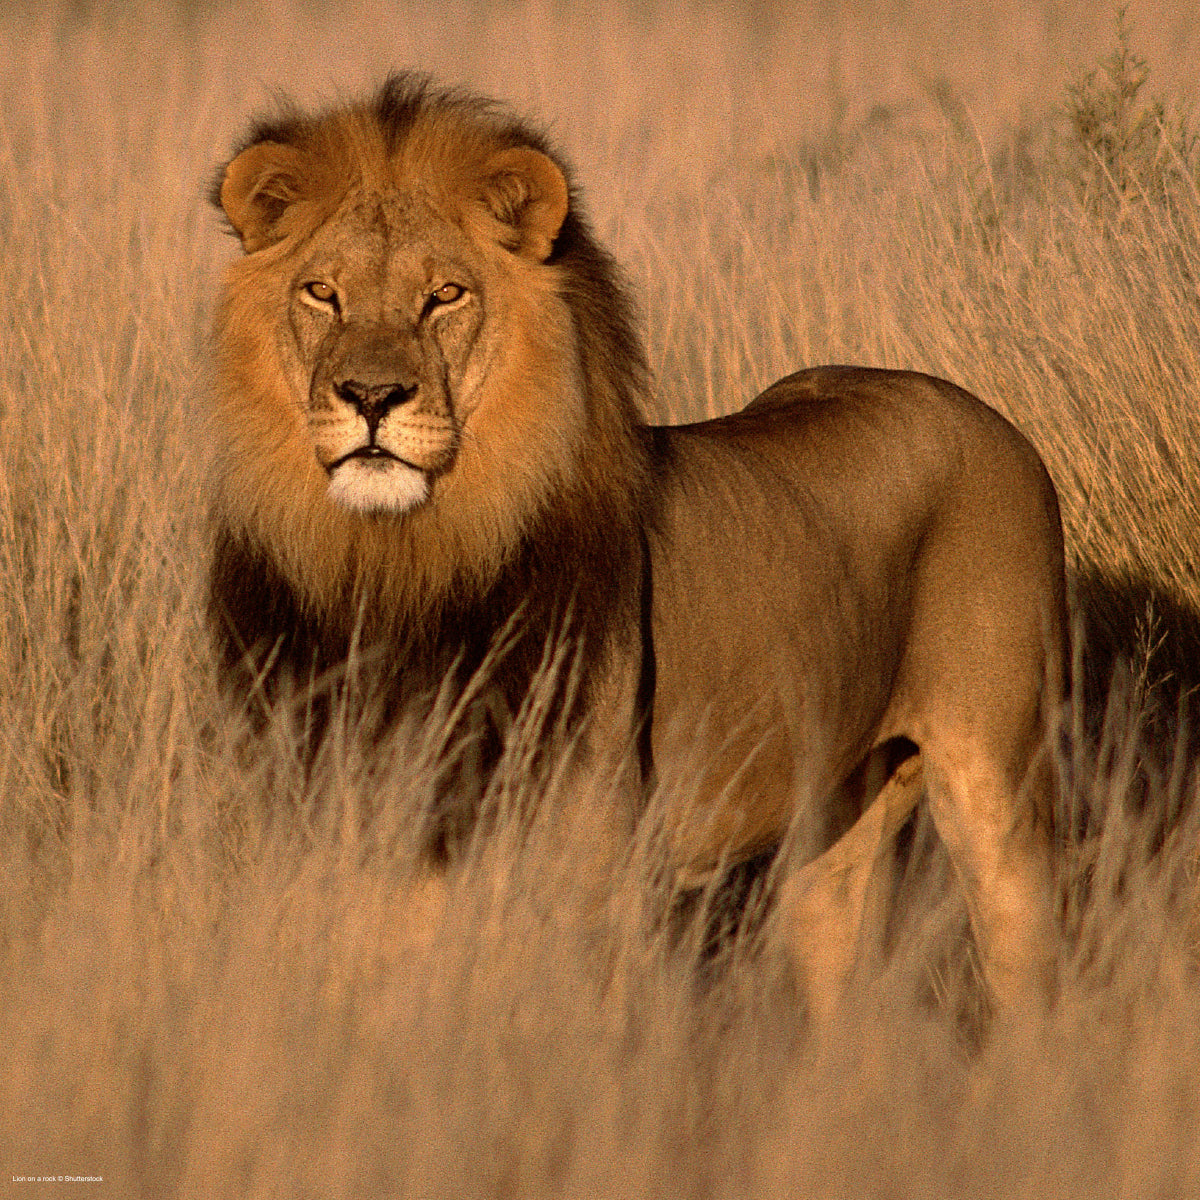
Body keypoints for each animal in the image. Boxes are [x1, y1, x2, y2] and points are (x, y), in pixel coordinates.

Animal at [208, 74, 1067, 1018]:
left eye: (445, 296)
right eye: (321, 294)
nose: (369, 395)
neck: (401, 566)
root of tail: (988, 417)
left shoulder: (583, 862)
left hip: (999, 786)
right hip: (835, 819)